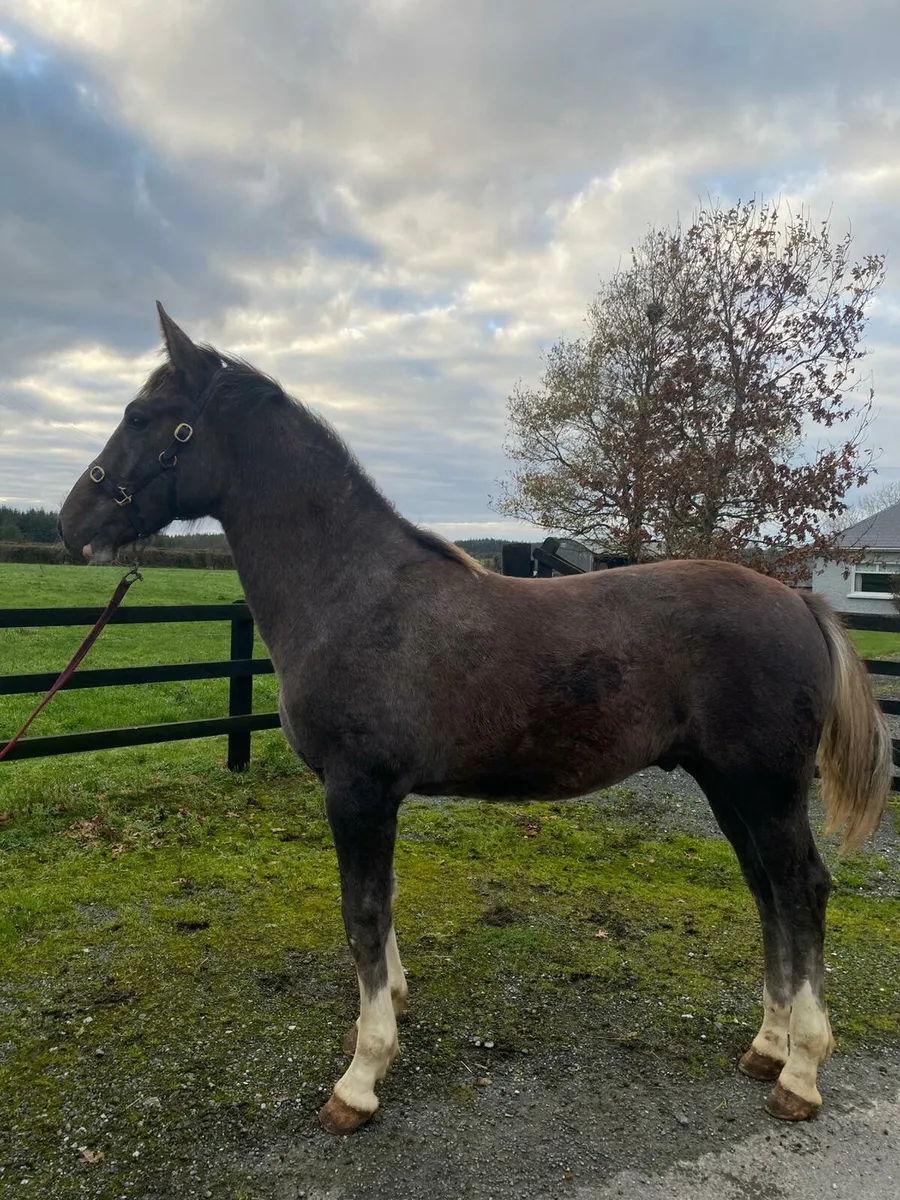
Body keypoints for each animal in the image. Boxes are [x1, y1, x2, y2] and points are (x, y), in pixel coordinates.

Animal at [58, 304, 891, 1135]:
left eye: (142, 417)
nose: (72, 523)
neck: (354, 593)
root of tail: (801, 602)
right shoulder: (376, 795)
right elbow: (385, 901)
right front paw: (387, 1011)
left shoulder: (356, 788)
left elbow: (362, 913)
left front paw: (362, 1077)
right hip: (728, 786)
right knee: (768, 892)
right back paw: (767, 1046)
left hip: (767, 789)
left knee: (803, 889)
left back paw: (802, 1072)